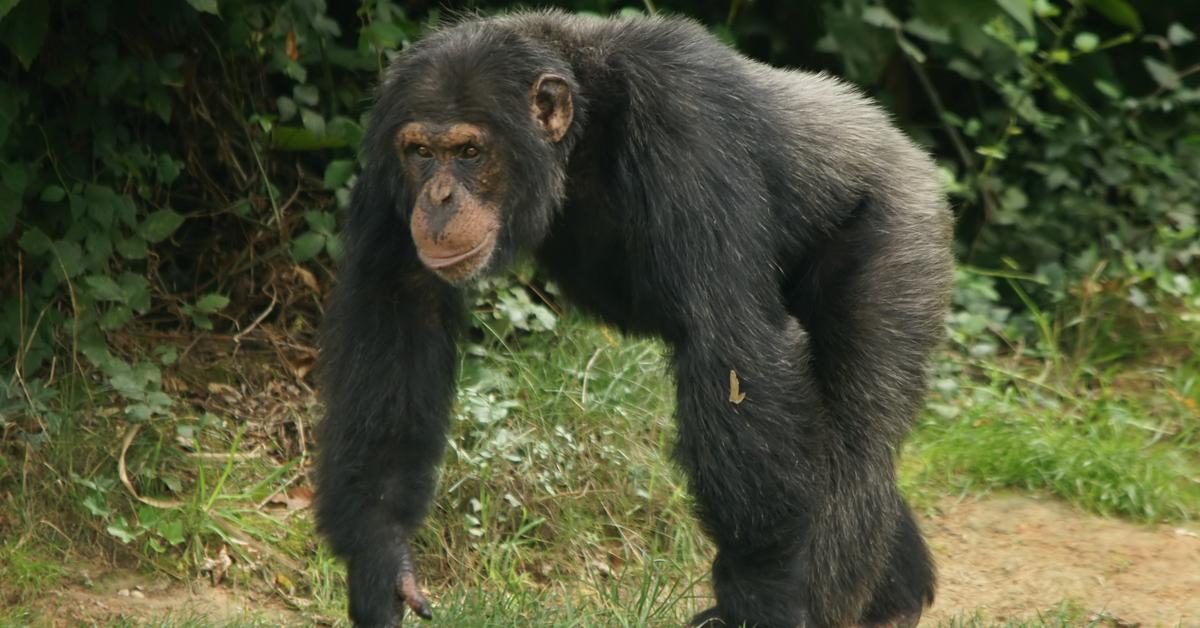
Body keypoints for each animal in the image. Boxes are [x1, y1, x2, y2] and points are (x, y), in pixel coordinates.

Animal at [314, 9, 950, 628]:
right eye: (421, 153)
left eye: (470, 152)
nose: (439, 198)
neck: (581, 131)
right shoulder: (385, 163)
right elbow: (399, 310)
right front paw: (382, 559)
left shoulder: (687, 125)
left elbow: (730, 346)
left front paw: (760, 593)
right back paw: (897, 594)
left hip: (901, 234)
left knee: (856, 436)